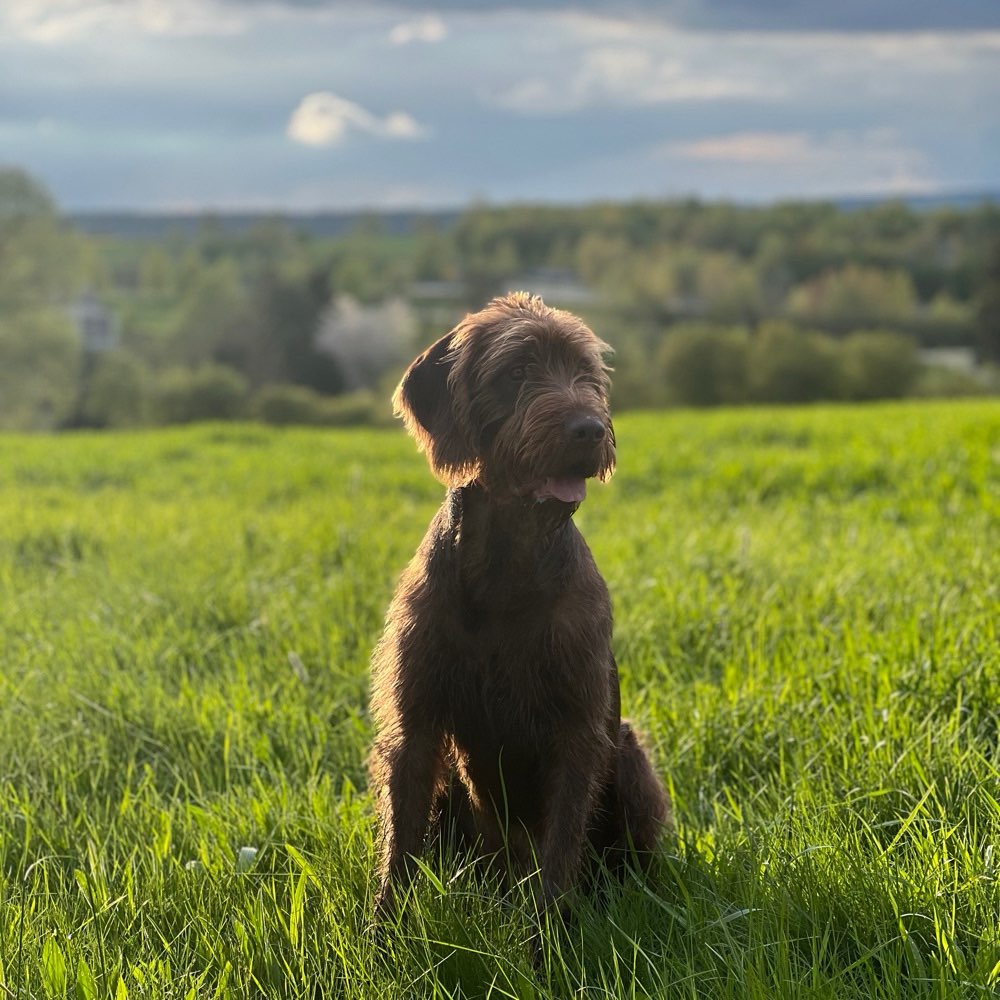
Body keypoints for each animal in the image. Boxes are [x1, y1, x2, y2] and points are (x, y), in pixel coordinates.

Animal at [370, 292, 672, 920]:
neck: (507, 566)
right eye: (515, 372)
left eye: (586, 372)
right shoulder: (416, 724)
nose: (589, 429)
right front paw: (382, 936)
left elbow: (559, 854)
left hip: (627, 749)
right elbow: (400, 848)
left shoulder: (579, 731)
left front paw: (549, 940)